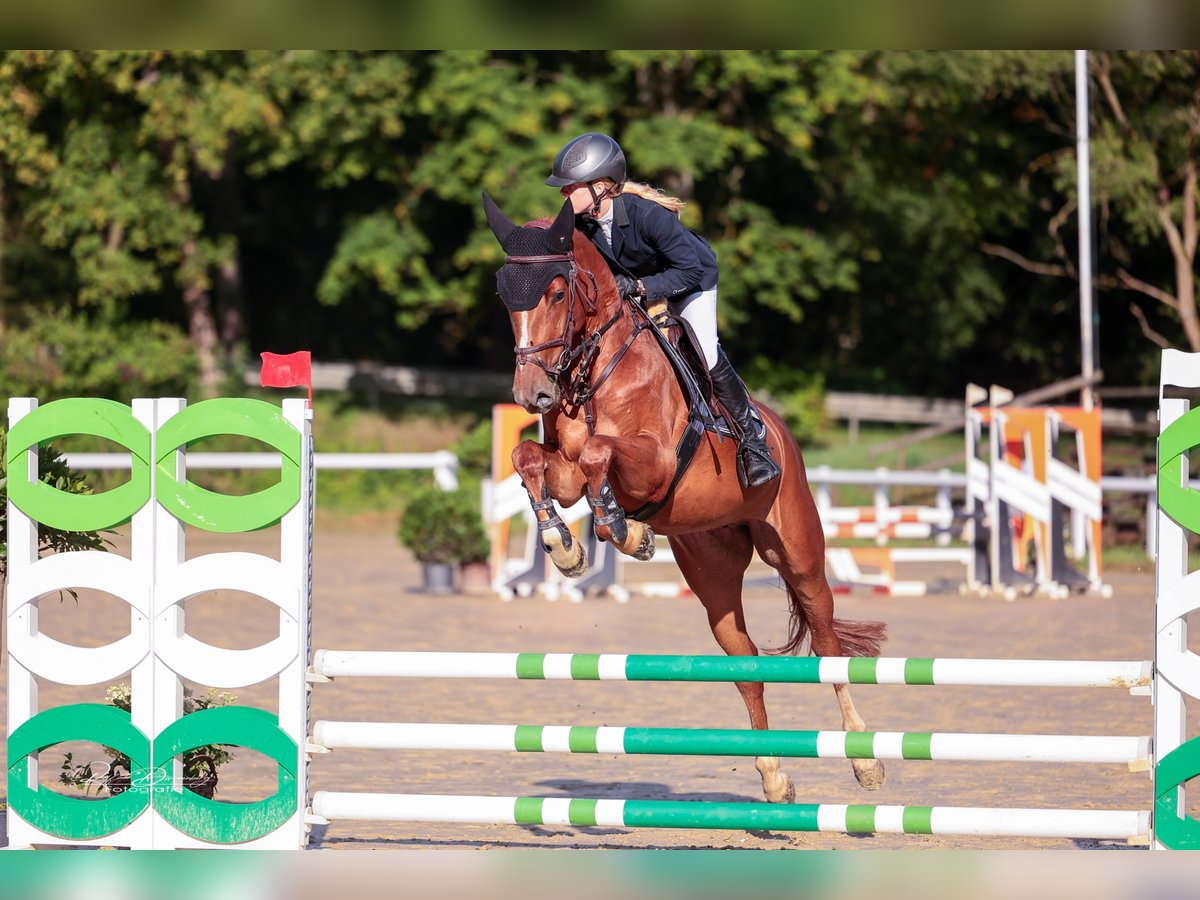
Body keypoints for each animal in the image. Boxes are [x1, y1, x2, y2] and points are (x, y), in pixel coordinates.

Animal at [482, 192, 888, 801]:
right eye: (505, 298)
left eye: (556, 292)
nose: (532, 395)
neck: (596, 369)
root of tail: (783, 432)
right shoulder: (565, 474)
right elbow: (528, 458)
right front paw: (566, 547)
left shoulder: (653, 464)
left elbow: (600, 454)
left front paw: (625, 531)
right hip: (711, 570)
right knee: (745, 663)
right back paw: (774, 777)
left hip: (797, 553)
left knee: (827, 646)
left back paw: (864, 761)